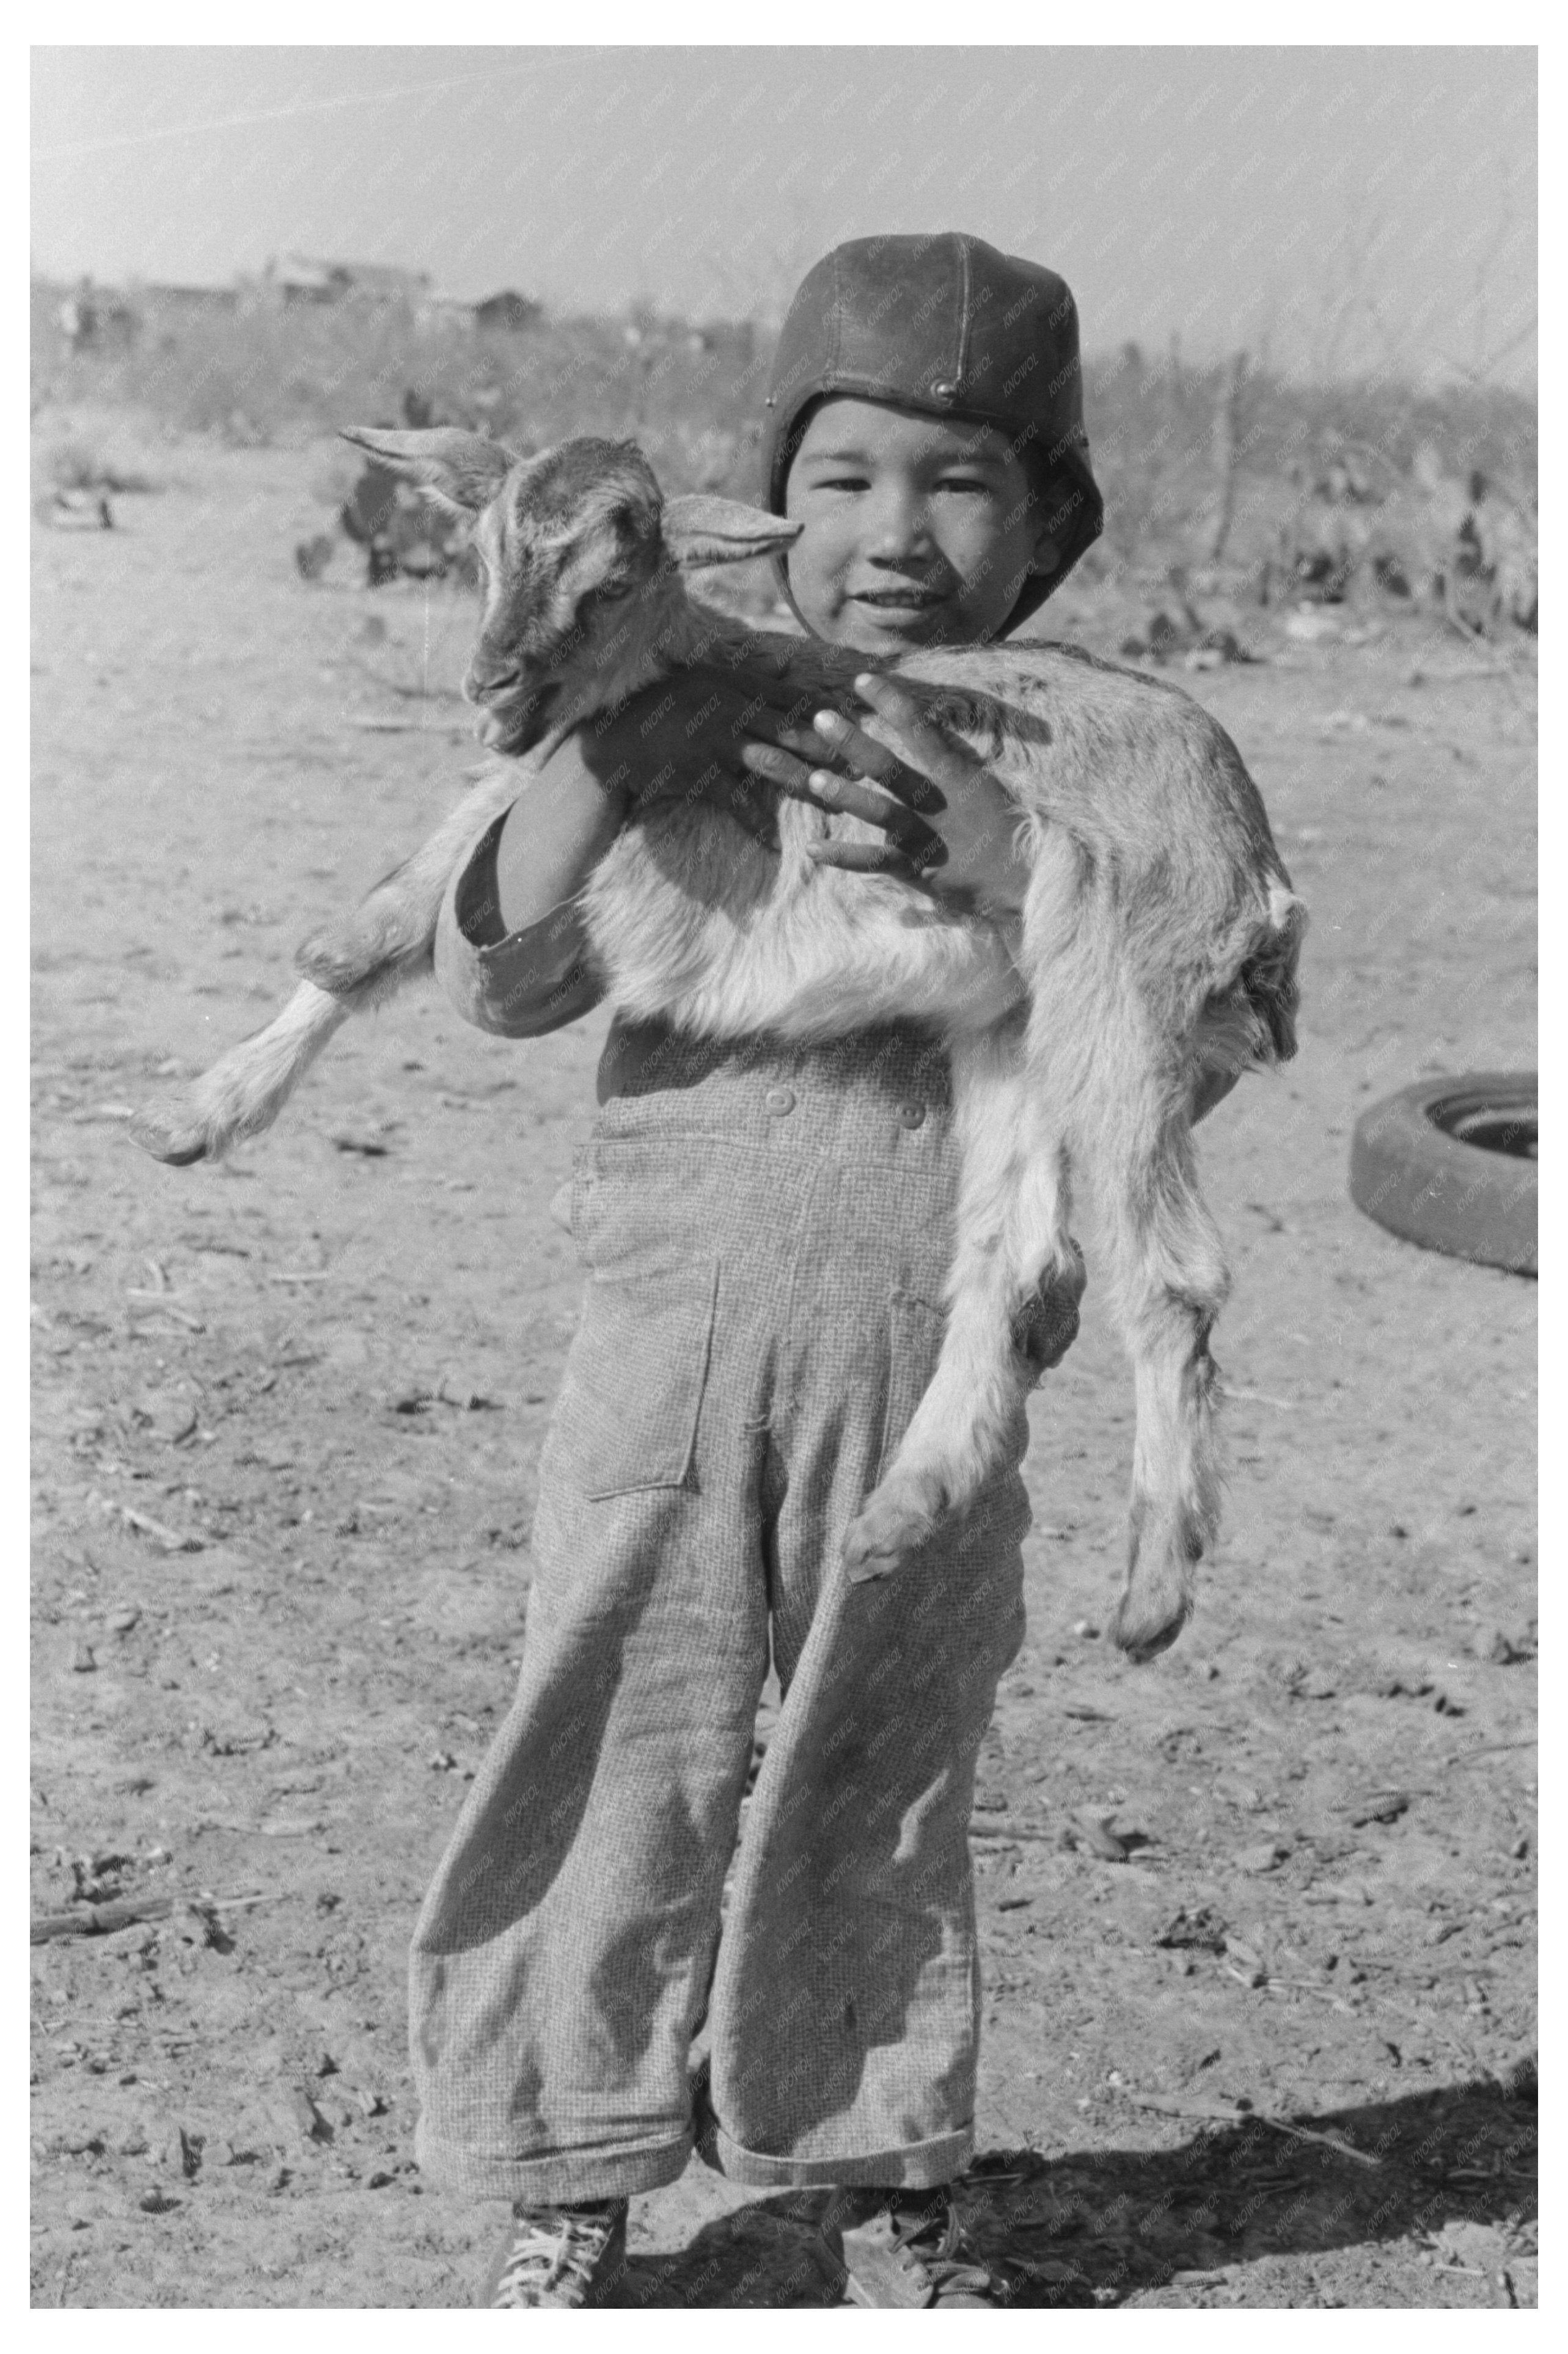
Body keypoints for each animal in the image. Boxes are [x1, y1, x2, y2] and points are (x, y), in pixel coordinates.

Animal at [134, 433, 1299, 1667]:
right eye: (482, 553)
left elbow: (398, 914)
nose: (492, 684)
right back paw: (898, 1513)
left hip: (1118, 999)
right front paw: (195, 1116)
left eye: (610, 584)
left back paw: (1150, 1593)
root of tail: (1250, 846)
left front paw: (211, 1096)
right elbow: (422, 916)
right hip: (1017, 1027)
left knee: (1171, 1279)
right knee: (1022, 1260)